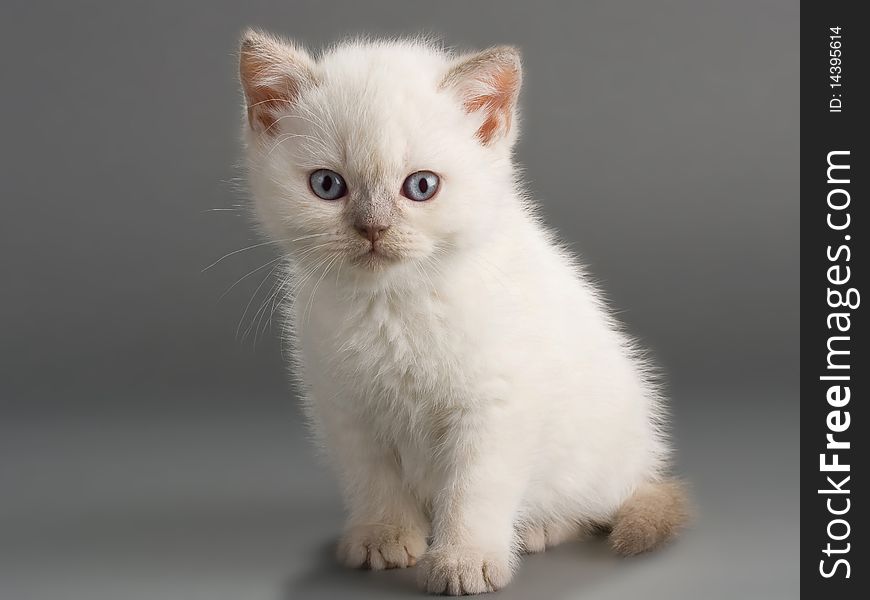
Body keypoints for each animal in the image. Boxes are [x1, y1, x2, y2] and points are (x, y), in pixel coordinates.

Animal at [238, 29, 688, 596]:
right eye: (327, 185)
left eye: (421, 186)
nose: (373, 228)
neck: (394, 304)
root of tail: (643, 464)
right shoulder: (348, 408)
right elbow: (371, 477)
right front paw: (383, 536)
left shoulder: (496, 403)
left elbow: (475, 488)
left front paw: (464, 560)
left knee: (596, 504)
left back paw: (540, 528)